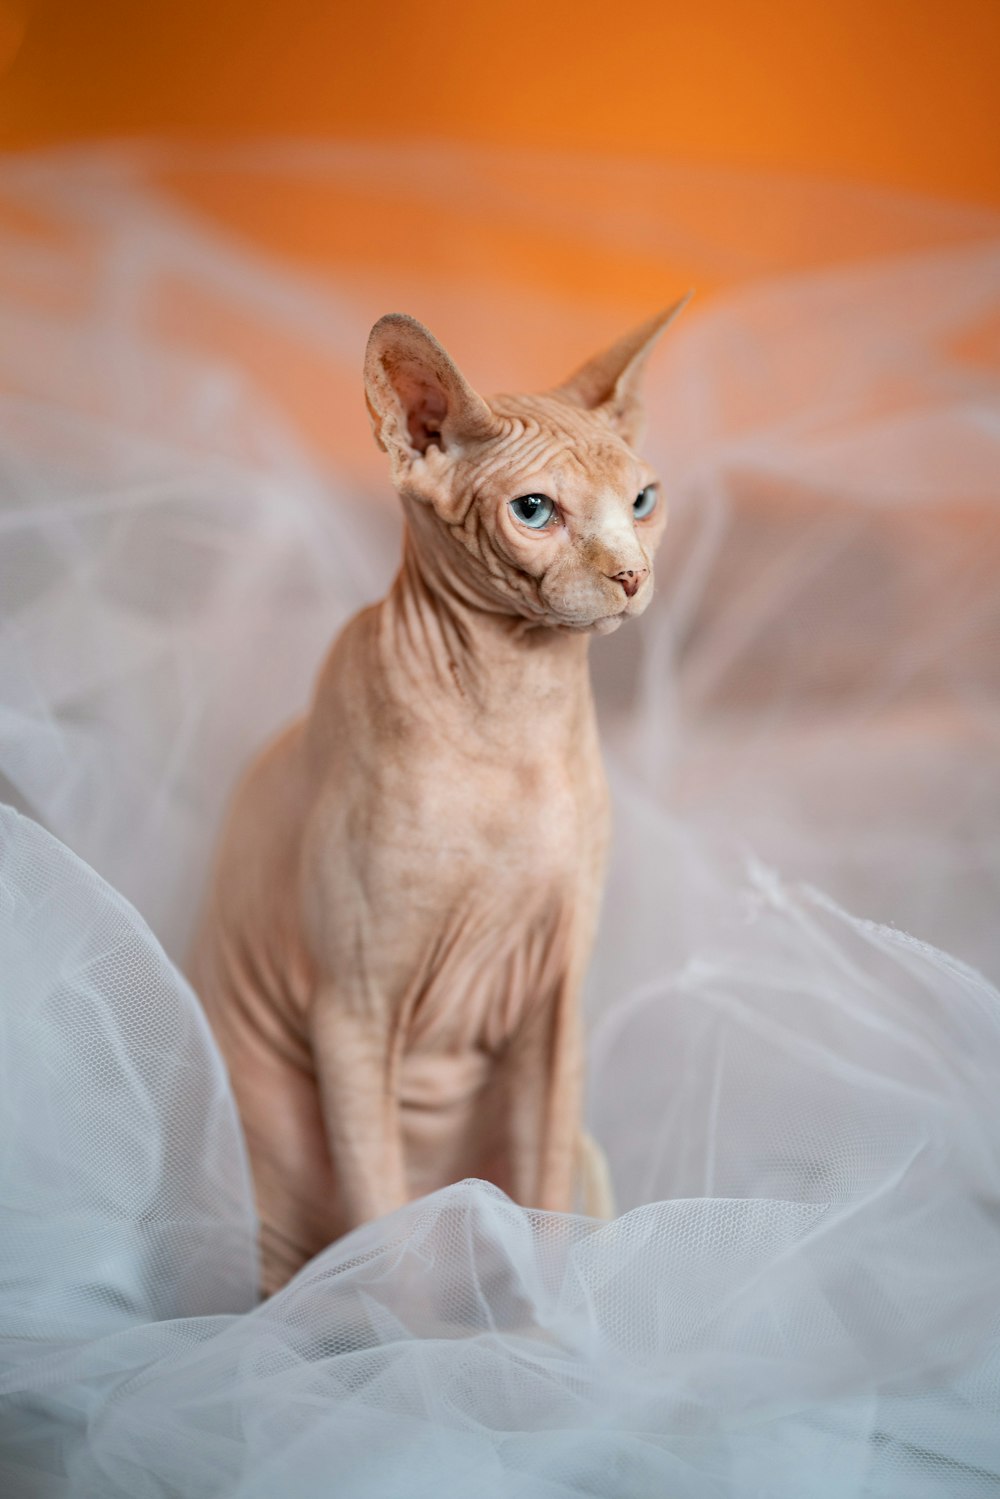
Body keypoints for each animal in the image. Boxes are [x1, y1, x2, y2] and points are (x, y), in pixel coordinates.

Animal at [187, 301, 689, 1289]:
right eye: (534, 511)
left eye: (643, 502)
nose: (632, 575)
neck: (512, 717)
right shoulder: (351, 1007)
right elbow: (387, 1236)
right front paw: (412, 1329)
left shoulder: (555, 1003)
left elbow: (545, 1201)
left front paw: (545, 1324)